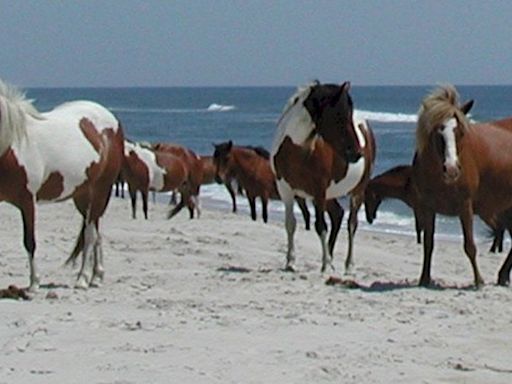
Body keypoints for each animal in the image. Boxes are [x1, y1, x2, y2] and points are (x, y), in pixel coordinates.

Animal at [0, 80, 124, 292]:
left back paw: (83, 279)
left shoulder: (28, 201)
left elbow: (30, 241)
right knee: (96, 231)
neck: (12, 145)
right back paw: (97, 276)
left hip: (101, 190)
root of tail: (111, 120)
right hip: (83, 196)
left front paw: (34, 284)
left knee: (90, 234)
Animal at [272, 81, 376, 272]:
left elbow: (320, 226)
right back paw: (331, 258)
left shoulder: (318, 191)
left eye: (349, 115)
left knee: (351, 224)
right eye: (339, 115)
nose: (357, 153)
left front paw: (326, 264)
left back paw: (348, 264)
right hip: (329, 194)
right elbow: (290, 224)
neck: (297, 148)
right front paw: (291, 261)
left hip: (357, 191)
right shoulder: (285, 190)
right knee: (337, 214)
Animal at [412, 85, 512, 286]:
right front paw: (424, 279)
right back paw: (503, 275)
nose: (451, 170)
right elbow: (428, 244)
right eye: (437, 133)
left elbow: (469, 246)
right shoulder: (427, 207)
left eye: (461, 133)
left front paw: (478, 280)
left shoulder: (465, 205)